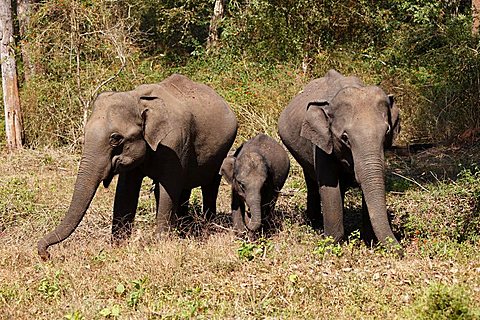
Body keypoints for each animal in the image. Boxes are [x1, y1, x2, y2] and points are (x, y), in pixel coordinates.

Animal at [37, 74, 238, 258]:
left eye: (115, 138)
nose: (45, 254)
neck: (138, 99)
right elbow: (126, 191)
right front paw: (118, 246)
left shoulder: (175, 142)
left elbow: (168, 188)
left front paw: (159, 244)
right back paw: (184, 228)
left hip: (222, 149)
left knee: (210, 184)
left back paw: (206, 225)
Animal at [276, 69, 404, 252]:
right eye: (345, 138)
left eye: (386, 132)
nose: (400, 251)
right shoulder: (322, 143)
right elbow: (329, 187)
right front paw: (332, 244)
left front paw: (370, 242)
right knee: (312, 182)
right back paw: (315, 224)